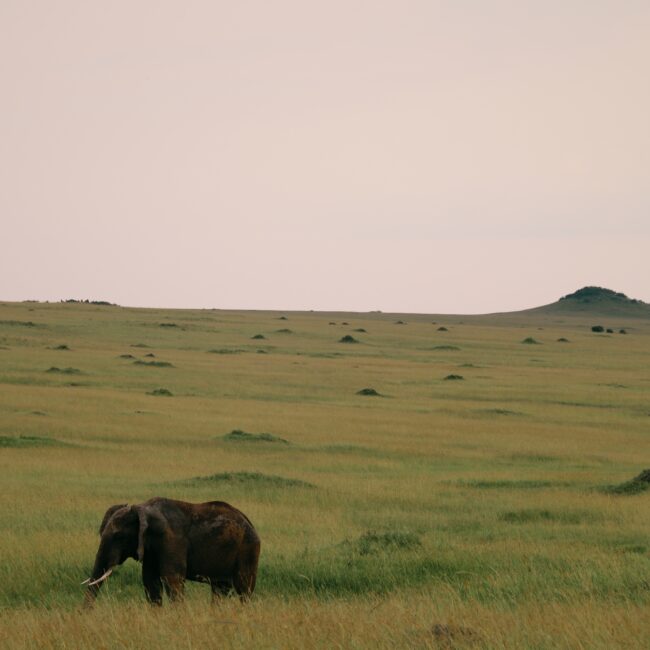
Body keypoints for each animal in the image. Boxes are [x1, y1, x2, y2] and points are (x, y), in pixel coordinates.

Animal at [82, 496, 260, 604]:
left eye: (119, 536)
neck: (143, 507)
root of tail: (250, 522)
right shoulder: (150, 549)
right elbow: (150, 582)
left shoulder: (173, 541)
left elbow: (172, 579)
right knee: (220, 588)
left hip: (248, 549)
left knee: (244, 588)